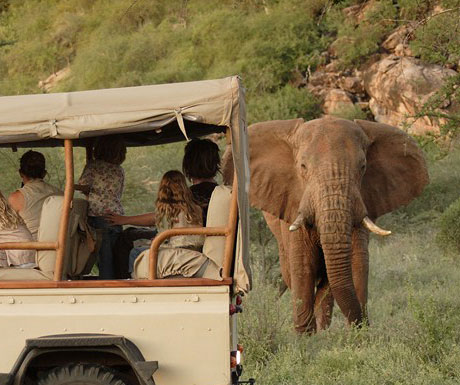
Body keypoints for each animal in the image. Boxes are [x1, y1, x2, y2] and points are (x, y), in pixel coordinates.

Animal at [223, 115, 428, 332]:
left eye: (363, 167)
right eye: (303, 167)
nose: (362, 324)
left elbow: (357, 261)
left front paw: (356, 335)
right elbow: (303, 264)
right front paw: (306, 336)